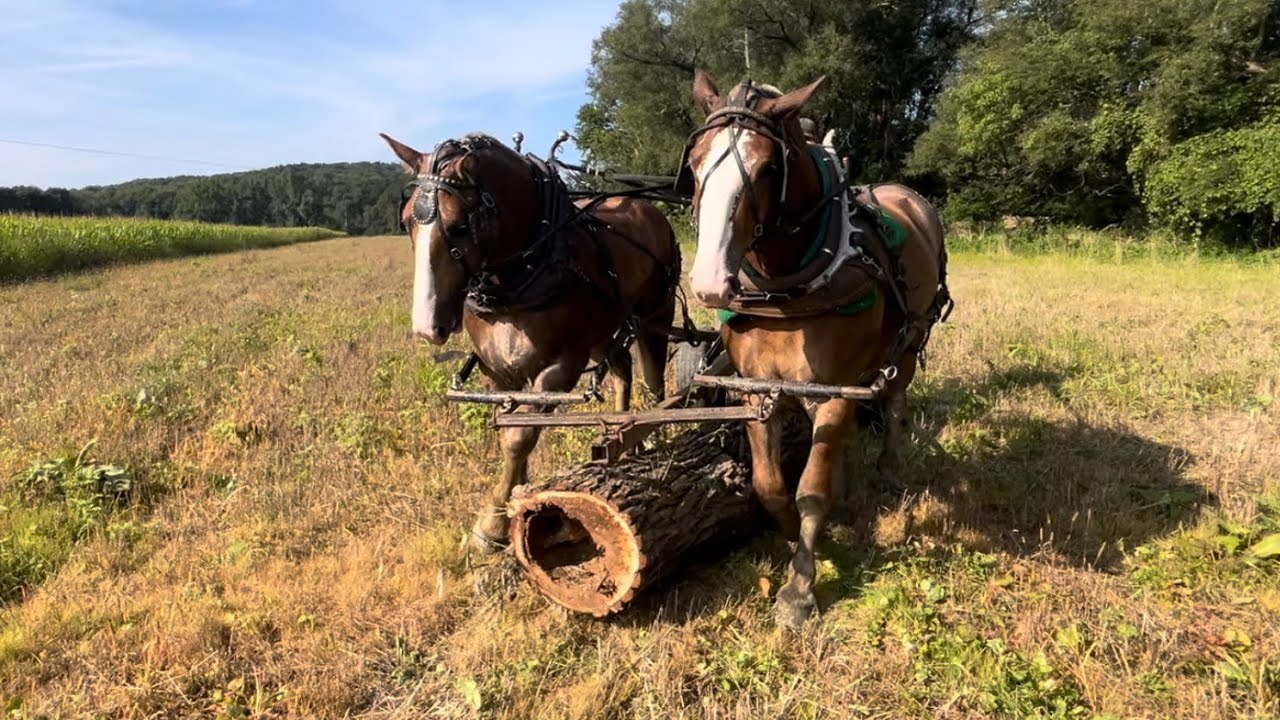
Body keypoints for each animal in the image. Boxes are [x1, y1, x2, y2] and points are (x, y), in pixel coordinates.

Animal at [379, 132, 682, 553]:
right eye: (407, 221)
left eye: (459, 226)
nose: (426, 327)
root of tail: (647, 207)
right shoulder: (496, 371)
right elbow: (512, 430)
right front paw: (513, 502)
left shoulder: (562, 365)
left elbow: (519, 437)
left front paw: (491, 525)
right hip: (607, 330)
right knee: (622, 369)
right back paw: (619, 432)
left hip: (656, 316)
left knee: (654, 381)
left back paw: (651, 433)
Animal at [680, 70, 952, 629]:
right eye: (694, 164)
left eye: (766, 168)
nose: (711, 283)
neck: (788, 288)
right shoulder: (757, 390)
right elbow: (771, 485)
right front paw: (798, 541)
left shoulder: (833, 387)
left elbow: (811, 489)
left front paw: (799, 588)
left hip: (908, 342)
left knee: (894, 402)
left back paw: (890, 467)